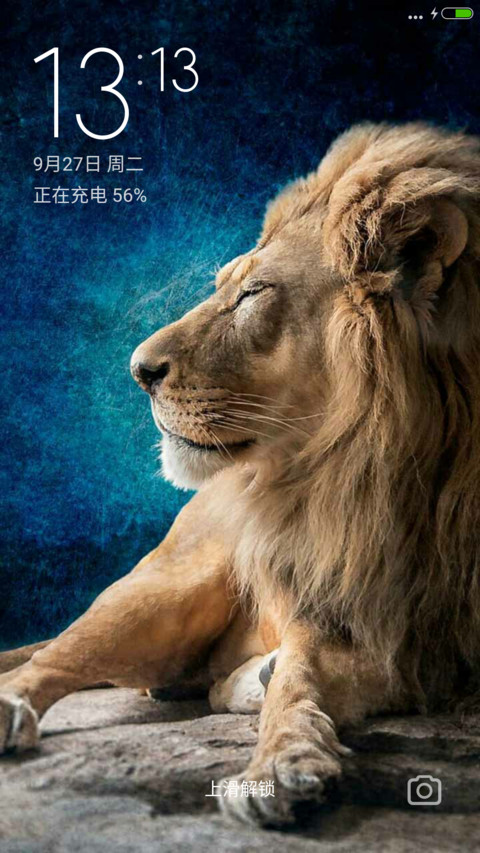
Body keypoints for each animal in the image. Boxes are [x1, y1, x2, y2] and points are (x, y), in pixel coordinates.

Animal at [1, 122, 480, 827]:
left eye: (253, 294)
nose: (137, 370)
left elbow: (318, 678)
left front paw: (281, 743)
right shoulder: (327, 595)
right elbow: (300, 677)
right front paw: (281, 761)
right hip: (159, 593)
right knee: (52, 657)